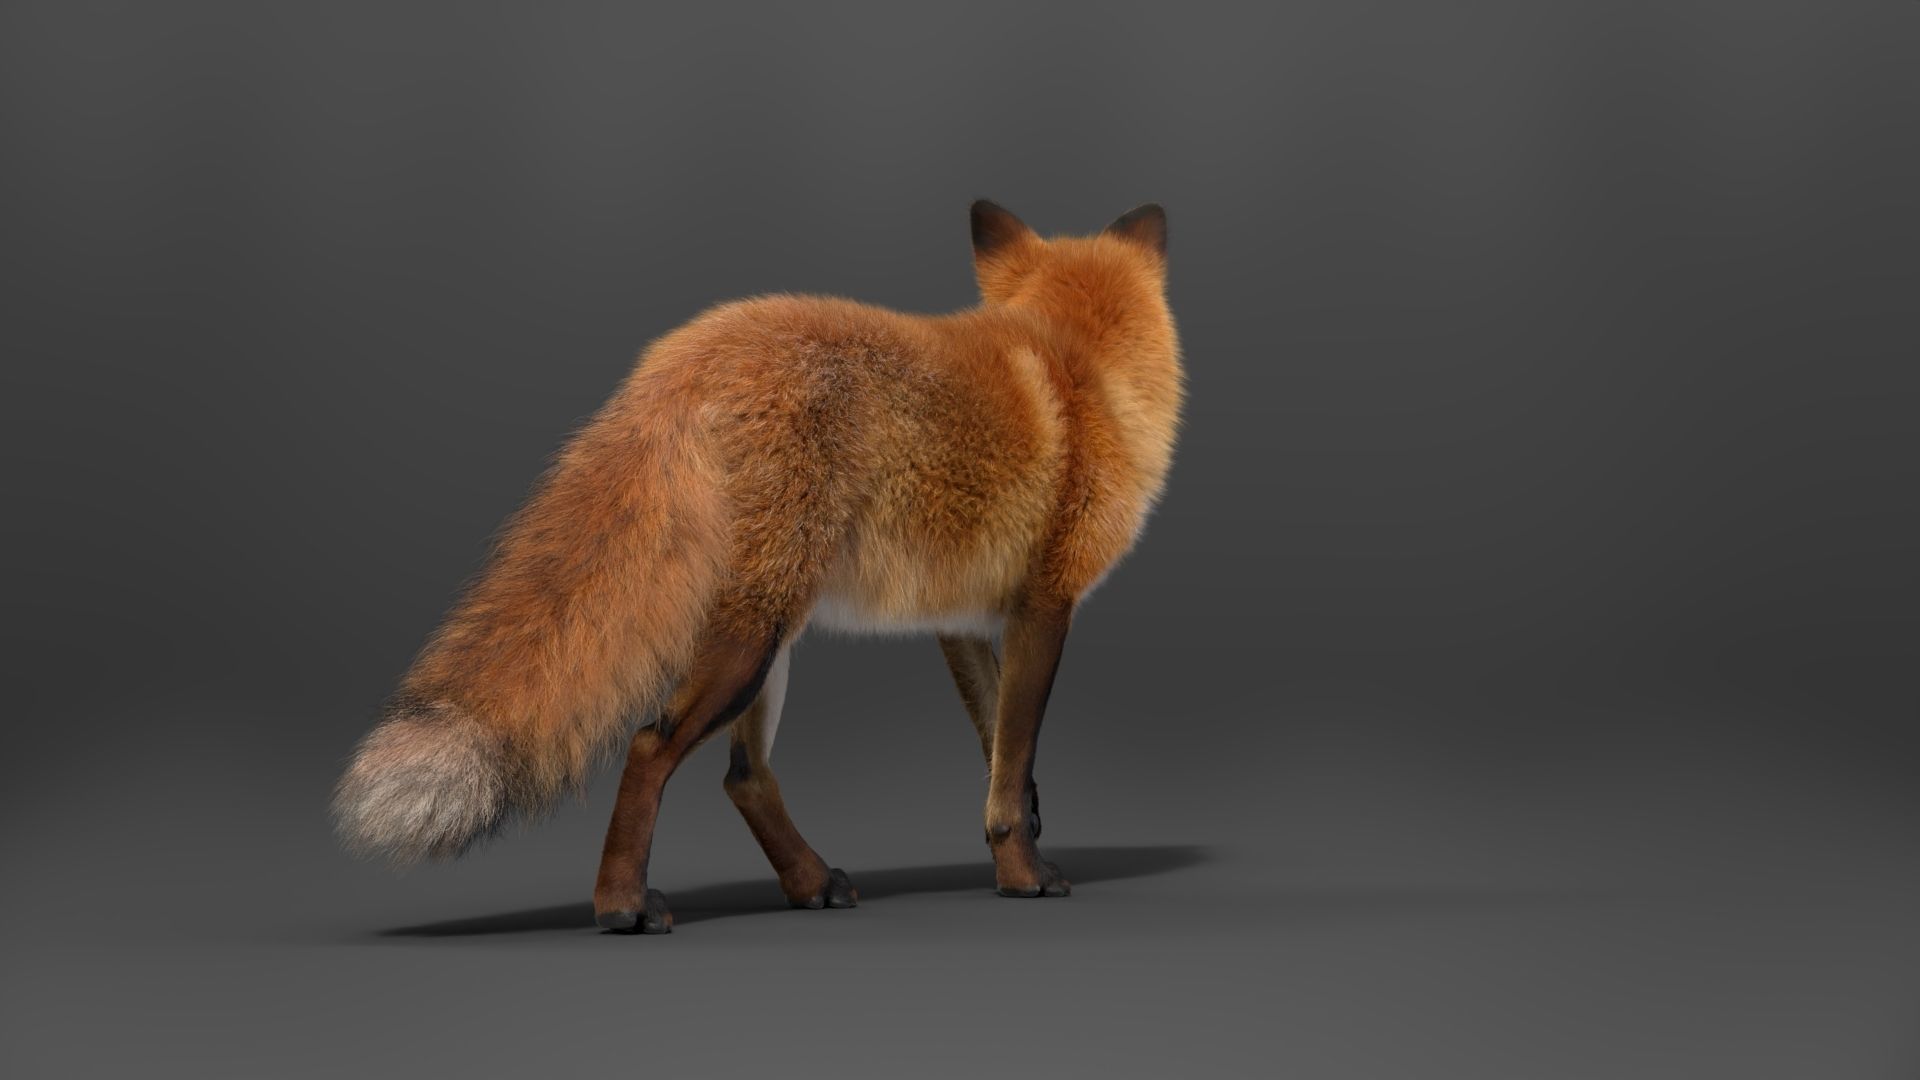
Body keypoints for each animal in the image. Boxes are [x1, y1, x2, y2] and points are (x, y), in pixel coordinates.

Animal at [333, 200, 1183, 933]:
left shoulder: (963, 621)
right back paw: (622, 905)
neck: (1078, 365)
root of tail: (687, 354)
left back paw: (808, 884)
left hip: (767, 637)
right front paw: (1026, 877)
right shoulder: (1045, 606)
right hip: (753, 642)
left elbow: (1000, 756)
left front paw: (1019, 848)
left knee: (743, 776)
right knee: (651, 744)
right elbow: (1012, 765)